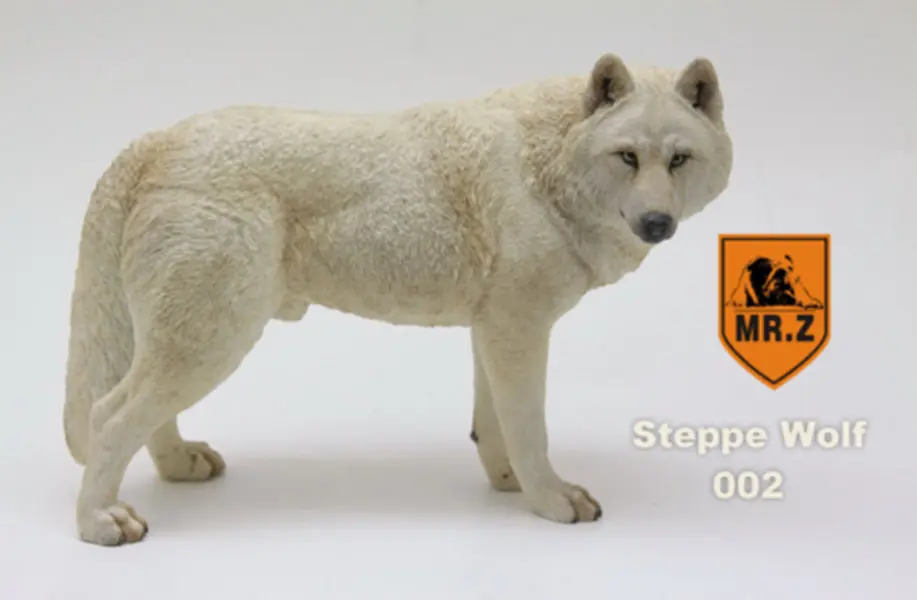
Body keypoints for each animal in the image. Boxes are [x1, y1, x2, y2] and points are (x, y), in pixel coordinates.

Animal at [63, 52, 733, 545]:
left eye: (679, 159)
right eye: (627, 157)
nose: (656, 223)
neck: (547, 165)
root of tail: (152, 141)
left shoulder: (494, 329)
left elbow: (494, 427)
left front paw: (509, 485)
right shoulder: (520, 328)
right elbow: (530, 429)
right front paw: (549, 500)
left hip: (190, 337)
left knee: (146, 414)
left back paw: (179, 466)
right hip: (213, 338)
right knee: (109, 416)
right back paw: (99, 523)